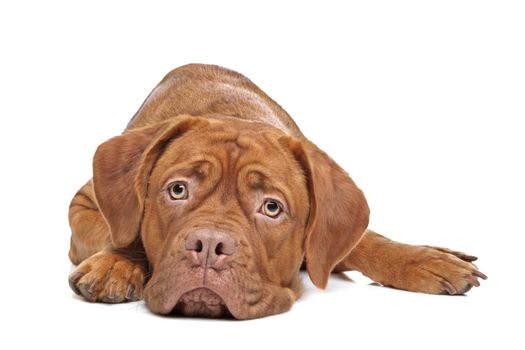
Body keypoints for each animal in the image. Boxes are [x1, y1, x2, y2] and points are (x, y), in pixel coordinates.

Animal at [67, 63, 486, 320]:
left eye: (271, 208)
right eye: (178, 190)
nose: (209, 246)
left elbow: (363, 241)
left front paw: (422, 260)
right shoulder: (83, 205)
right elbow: (124, 230)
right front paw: (116, 264)